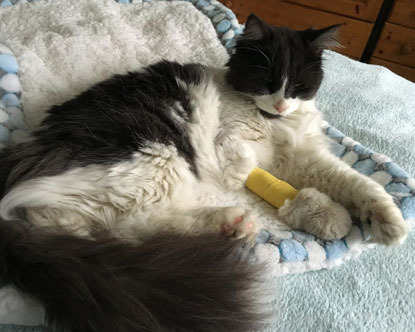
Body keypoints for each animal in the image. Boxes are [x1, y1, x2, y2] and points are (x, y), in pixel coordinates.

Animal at [0, 14, 410, 332]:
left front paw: (384, 223)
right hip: (159, 157)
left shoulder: (302, 158)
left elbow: (357, 183)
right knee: (128, 227)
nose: (280, 104)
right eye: (266, 81)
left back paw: (233, 226)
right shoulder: (238, 141)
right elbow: (240, 159)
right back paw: (232, 222)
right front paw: (254, 180)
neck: (272, 123)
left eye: (297, 86)